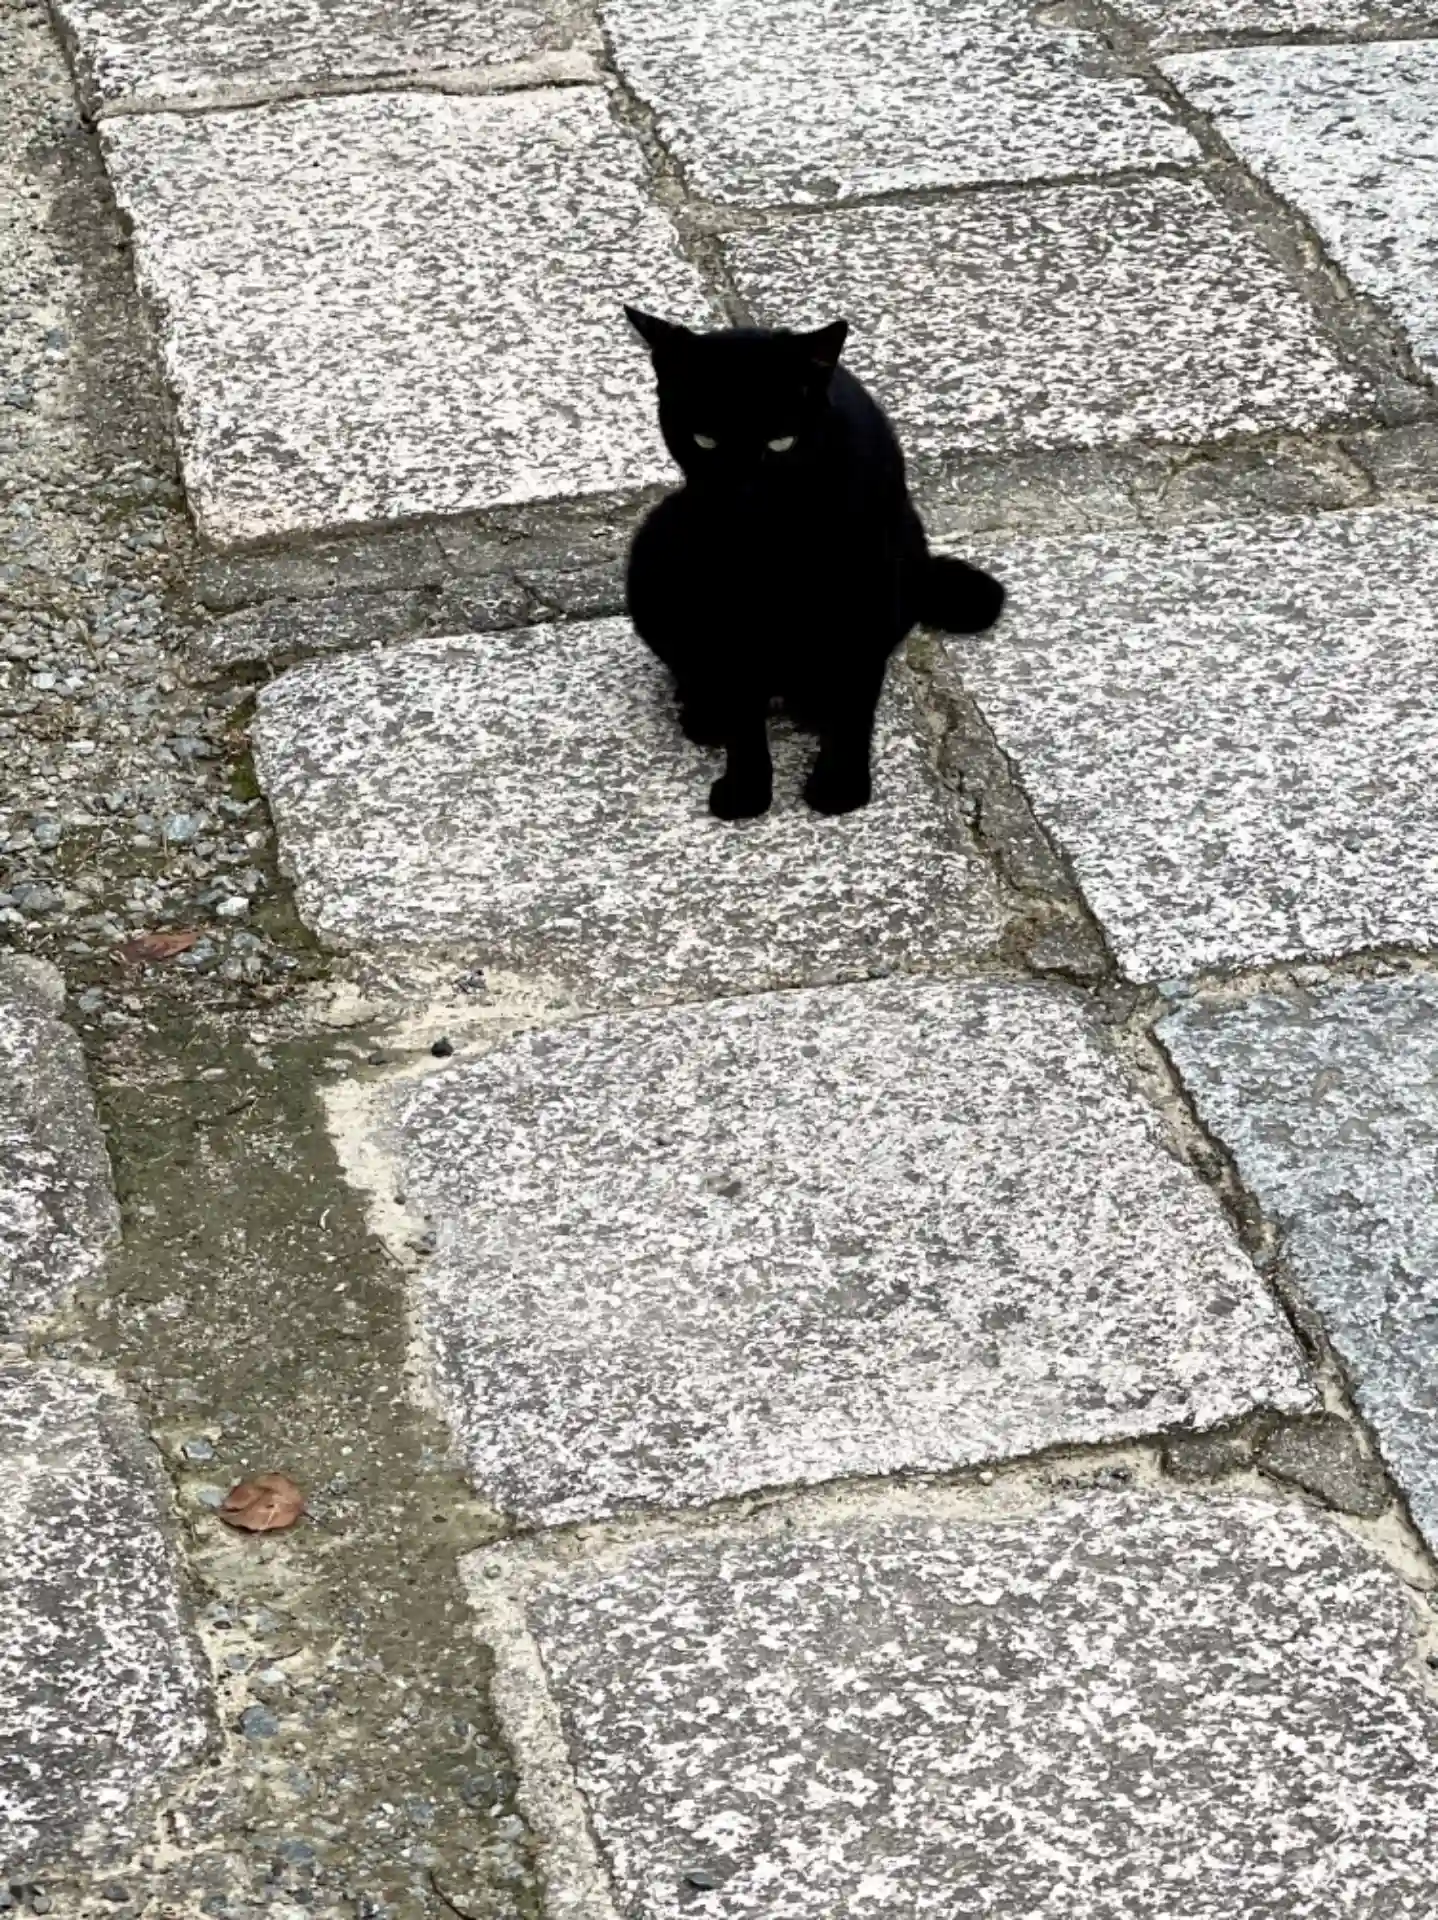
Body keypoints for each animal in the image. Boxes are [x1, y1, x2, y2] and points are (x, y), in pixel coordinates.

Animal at [623, 309, 1005, 820]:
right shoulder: (726, 596)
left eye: (781, 443)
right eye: (704, 440)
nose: (742, 490)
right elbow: (743, 711)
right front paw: (746, 788)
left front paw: (840, 784)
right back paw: (705, 710)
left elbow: (855, 701)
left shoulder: (869, 591)